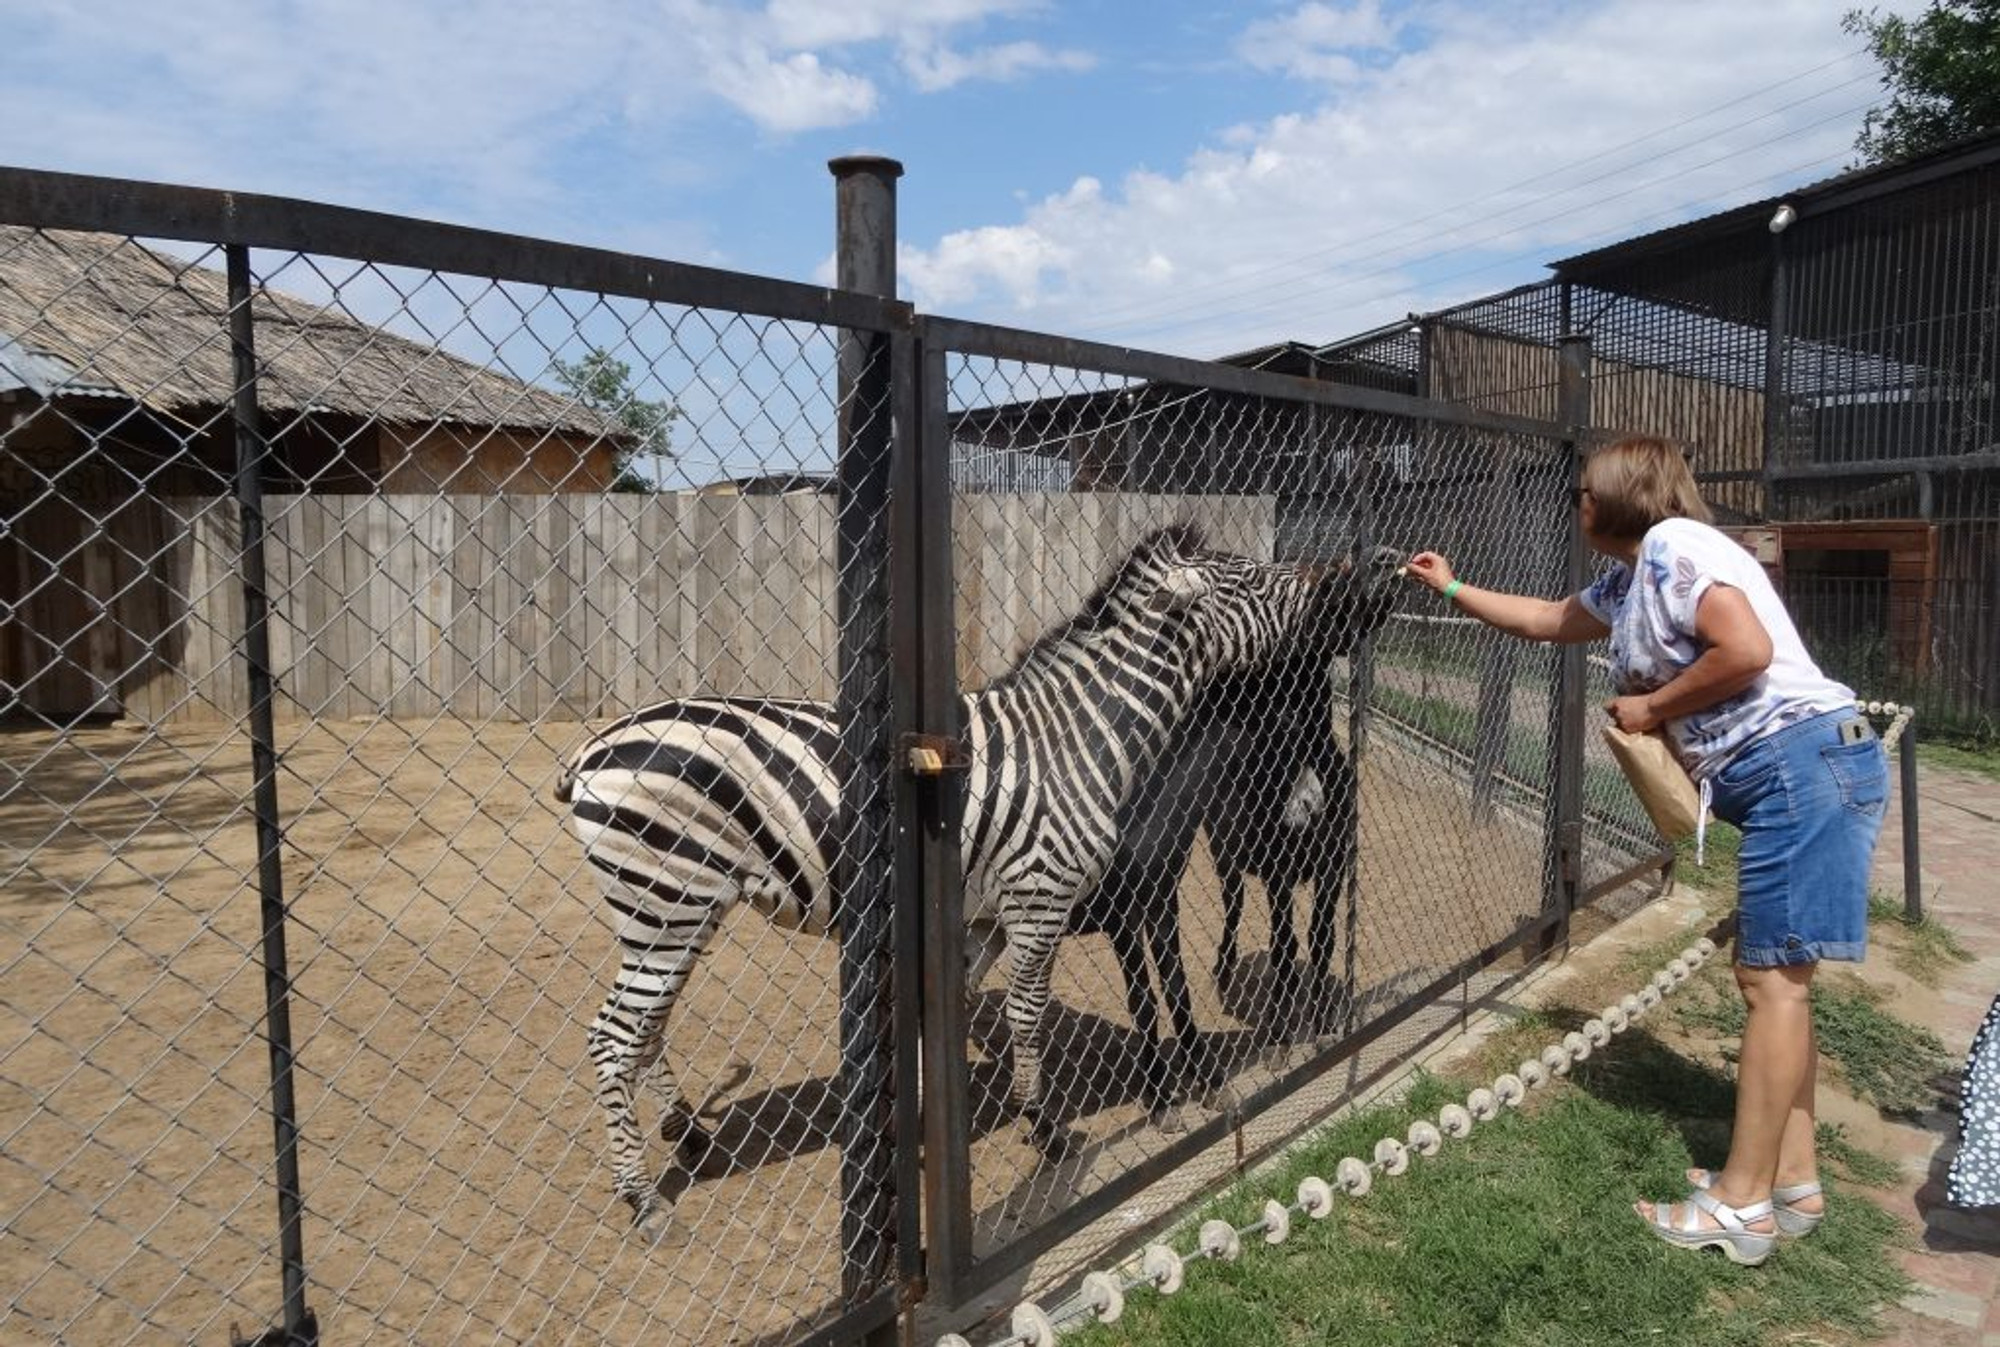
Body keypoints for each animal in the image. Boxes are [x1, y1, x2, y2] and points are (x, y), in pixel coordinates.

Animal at [560, 523, 1408, 1231]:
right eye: (1256, 580)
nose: (1368, 565)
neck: (1082, 737)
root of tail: (591, 750)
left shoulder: (985, 917)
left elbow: (950, 1013)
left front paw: (931, 1135)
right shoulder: (1042, 898)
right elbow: (1035, 1013)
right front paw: (1046, 1128)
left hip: (683, 908)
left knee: (647, 1025)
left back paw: (689, 1135)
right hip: (668, 901)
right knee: (611, 1034)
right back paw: (643, 1197)